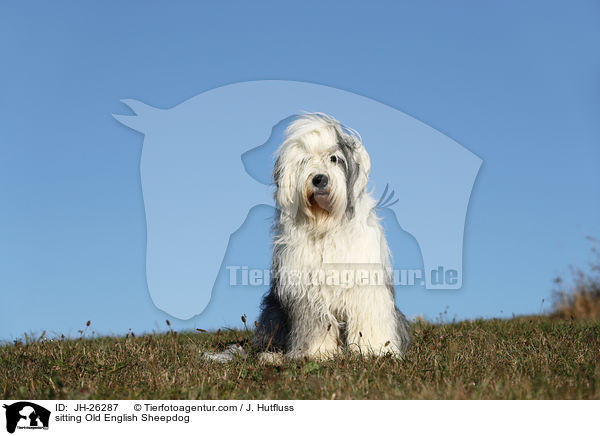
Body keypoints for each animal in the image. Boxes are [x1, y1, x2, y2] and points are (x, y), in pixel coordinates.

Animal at [253, 114, 412, 360]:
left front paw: (375, 350)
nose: (319, 179)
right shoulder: (308, 292)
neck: (326, 224)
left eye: (334, 158)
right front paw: (318, 353)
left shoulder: (366, 285)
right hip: (273, 314)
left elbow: (368, 318)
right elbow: (317, 326)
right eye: (304, 160)